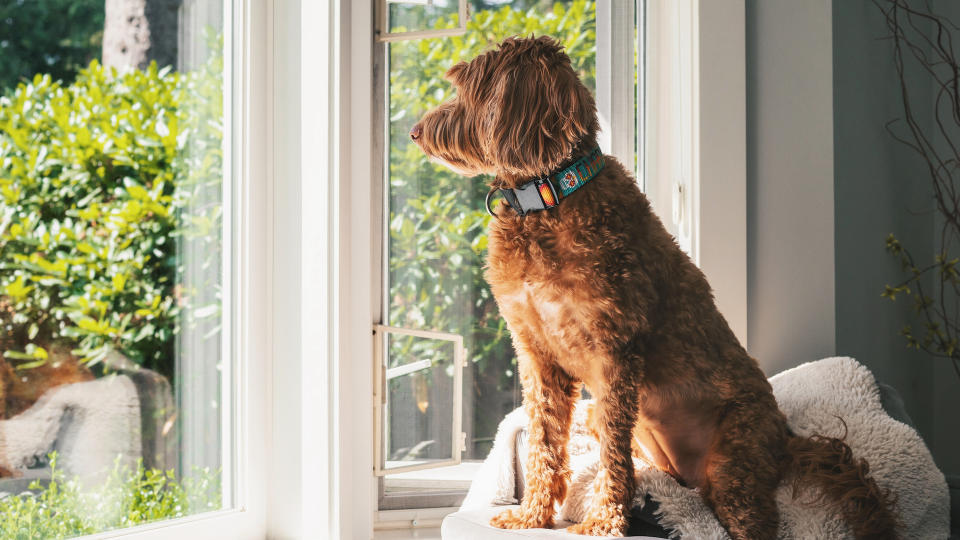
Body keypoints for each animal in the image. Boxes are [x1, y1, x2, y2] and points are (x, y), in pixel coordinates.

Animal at [410, 35, 900, 536]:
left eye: (465, 89)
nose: (414, 131)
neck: (551, 198)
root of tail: (785, 437)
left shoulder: (615, 350)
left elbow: (612, 449)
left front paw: (604, 520)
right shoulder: (538, 357)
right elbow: (545, 440)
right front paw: (533, 515)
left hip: (736, 465)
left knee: (755, 521)